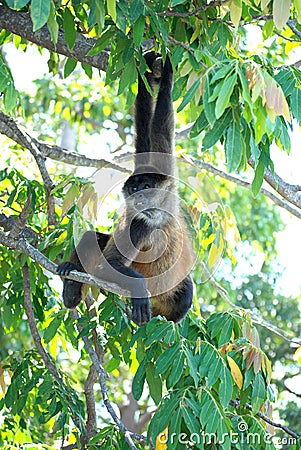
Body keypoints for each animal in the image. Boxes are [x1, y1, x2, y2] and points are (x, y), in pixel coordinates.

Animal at [56, 51, 195, 326]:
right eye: (133, 191)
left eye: (146, 187)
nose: (139, 200)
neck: (157, 217)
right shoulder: (138, 224)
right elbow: (105, 265)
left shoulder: (167, 181)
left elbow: (158, 130)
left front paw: (162, 73)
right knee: (91, 237)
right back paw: (72, 287)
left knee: (186, 290)